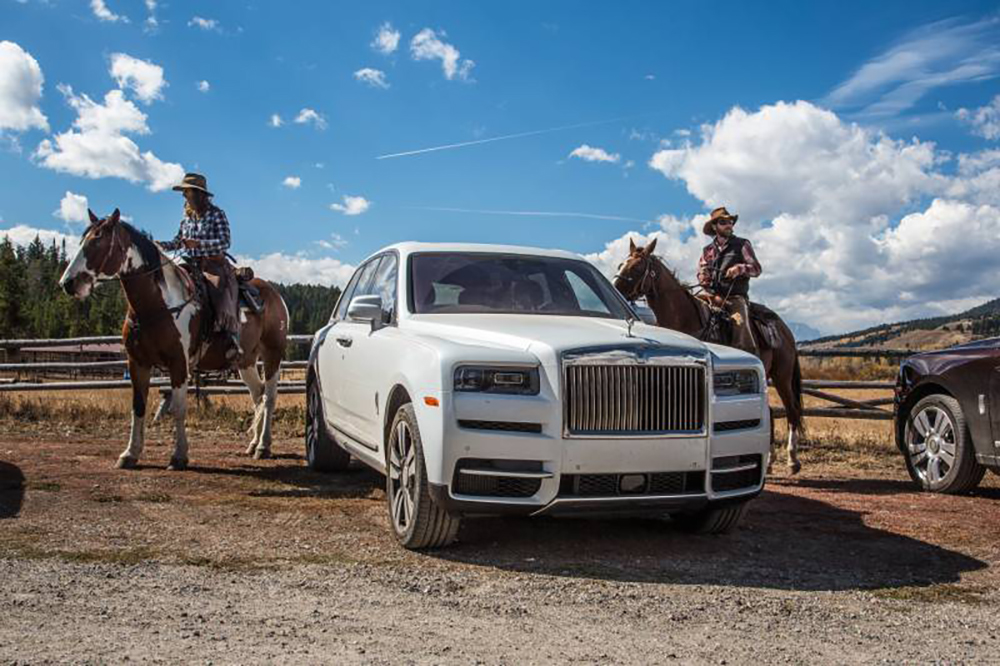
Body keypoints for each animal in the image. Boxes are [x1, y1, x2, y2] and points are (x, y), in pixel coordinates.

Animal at [58, 208, 288, 466]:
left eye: (98, 241)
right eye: (82, 241)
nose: (68, 283)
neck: (157, 305)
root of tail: (275, 294)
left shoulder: (178, 362)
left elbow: (178, 408)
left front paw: (179, 455)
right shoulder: (137, 362)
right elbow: (138, 407)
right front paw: (130, 453)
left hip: (273, 353)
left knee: (269, 396)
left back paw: (264, 446)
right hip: (246, 360)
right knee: (258, 394)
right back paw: (253, 444)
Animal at [612, 239, 808, 472]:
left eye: (637, 267)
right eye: (621, 264)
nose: (613, 287)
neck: (686, 319)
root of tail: (784, 328)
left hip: (782, 376)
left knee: (792, 411)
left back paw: (792, 459)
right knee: (770, 413)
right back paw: (769, 462)